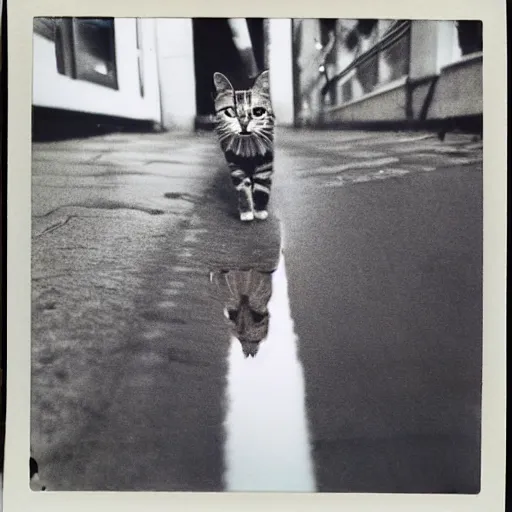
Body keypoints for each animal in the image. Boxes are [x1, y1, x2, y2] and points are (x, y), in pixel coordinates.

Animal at [213, 69, 276, 221]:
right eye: (230, 112)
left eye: (257, 112)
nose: (244, 123)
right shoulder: (235, 164)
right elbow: (243, 189)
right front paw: (246, 212)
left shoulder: (265, 162)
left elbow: (262, 187)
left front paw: (260, 211)